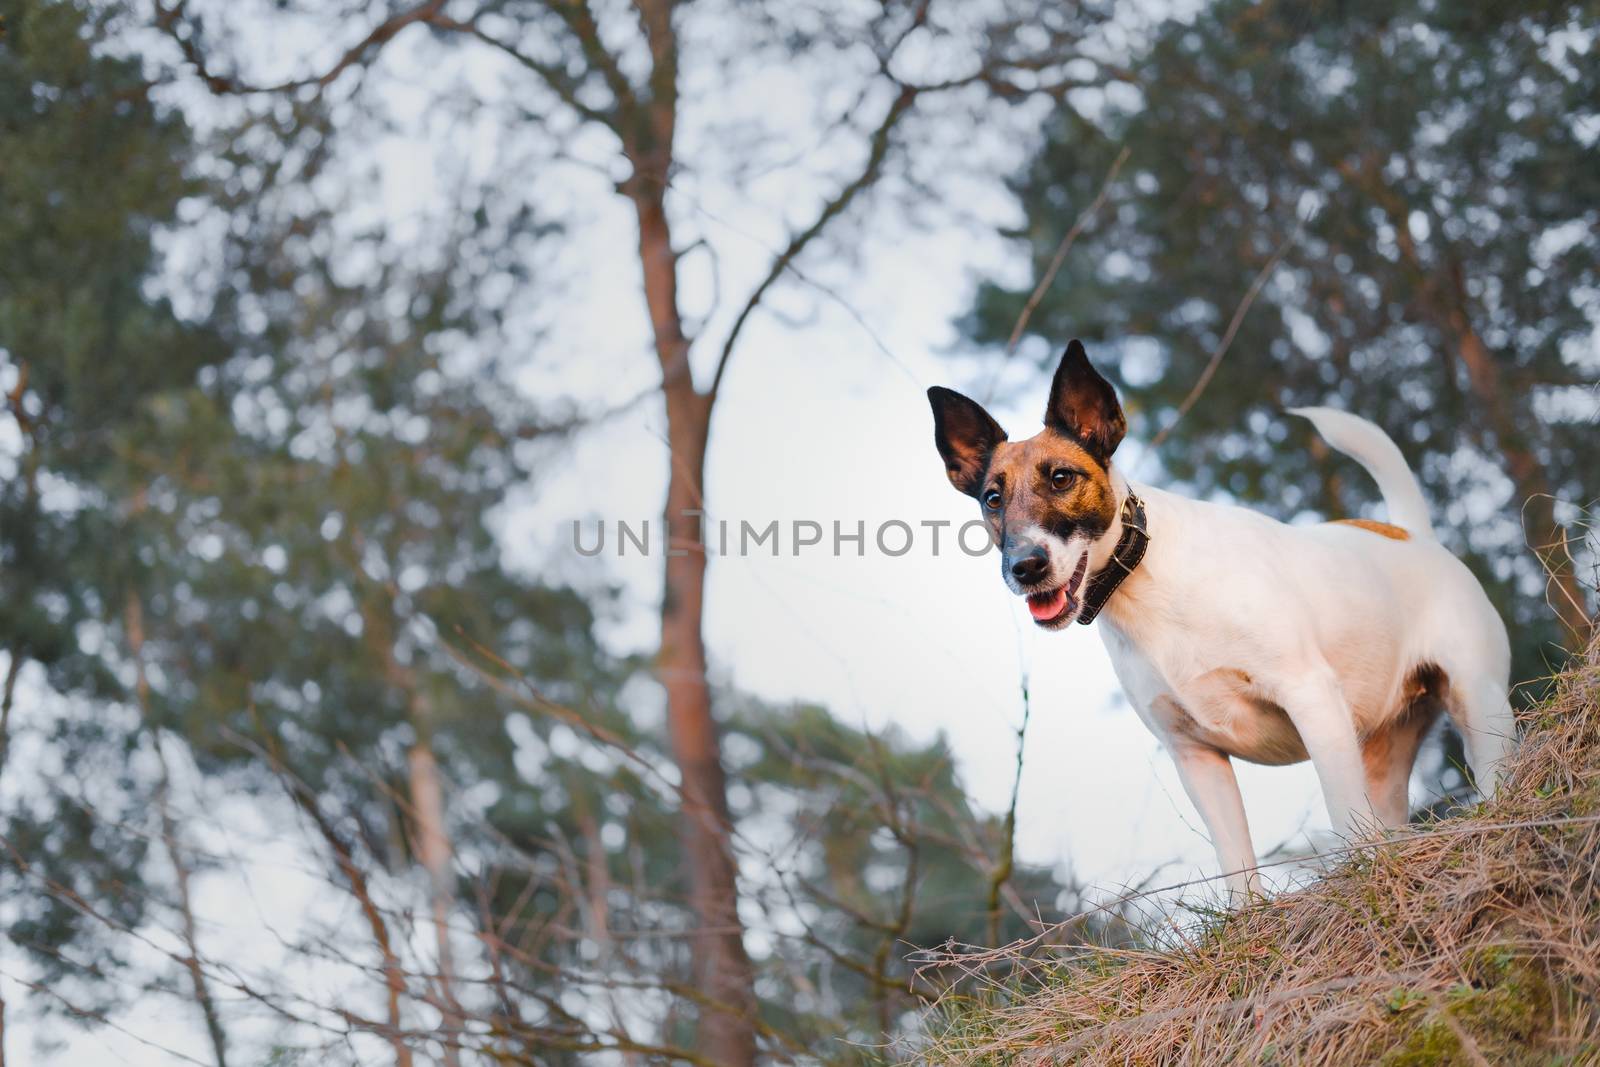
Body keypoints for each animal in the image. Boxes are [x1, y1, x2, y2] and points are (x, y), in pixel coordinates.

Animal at [928, 342, 1510, 902]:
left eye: (1061, 478)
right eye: (993, 498)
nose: (1025, 567)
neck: (1145, 581)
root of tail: (1411, 534)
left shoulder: (1313, 700)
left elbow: (1343, 812)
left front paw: (1359, 879)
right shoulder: (1195, 755)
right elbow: (1236, 861)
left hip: (1477, 701)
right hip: (1385, 752)